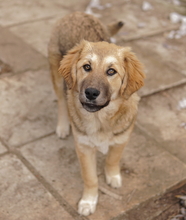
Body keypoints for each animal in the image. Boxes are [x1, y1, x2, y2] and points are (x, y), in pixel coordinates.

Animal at [47, 12, 144, 217]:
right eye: (86, 67)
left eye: (111, 71)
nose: (91, 93)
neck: (101, 120)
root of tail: (77, 13)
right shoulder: (84, 147)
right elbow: (90, 178)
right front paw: (88, 201)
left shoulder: (122, 138)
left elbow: (113, 159)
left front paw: (113, 176)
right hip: (57, 76)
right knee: (61, 100)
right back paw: (62, 126)